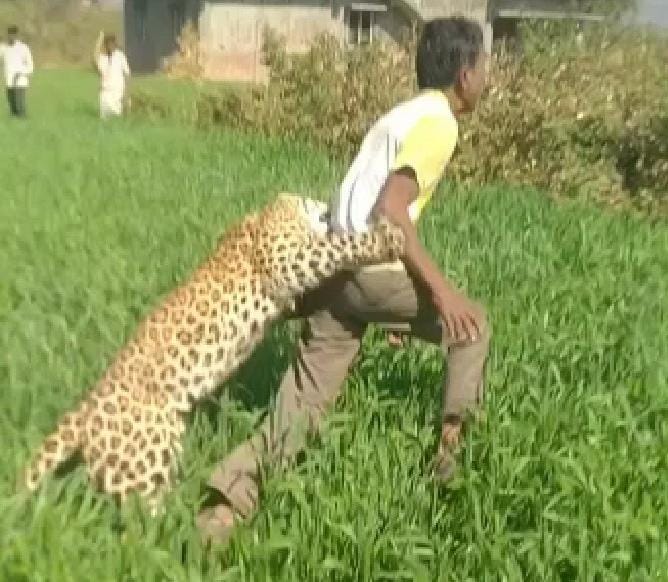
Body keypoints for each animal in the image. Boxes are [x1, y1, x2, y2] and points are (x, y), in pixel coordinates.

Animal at [21, 193, 405, 513]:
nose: (330, 205)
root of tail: (85, 410)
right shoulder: (290, 259)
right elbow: (336, 246)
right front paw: (386, 238)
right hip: (143, 463)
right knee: (138, 523)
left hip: (157, 448)